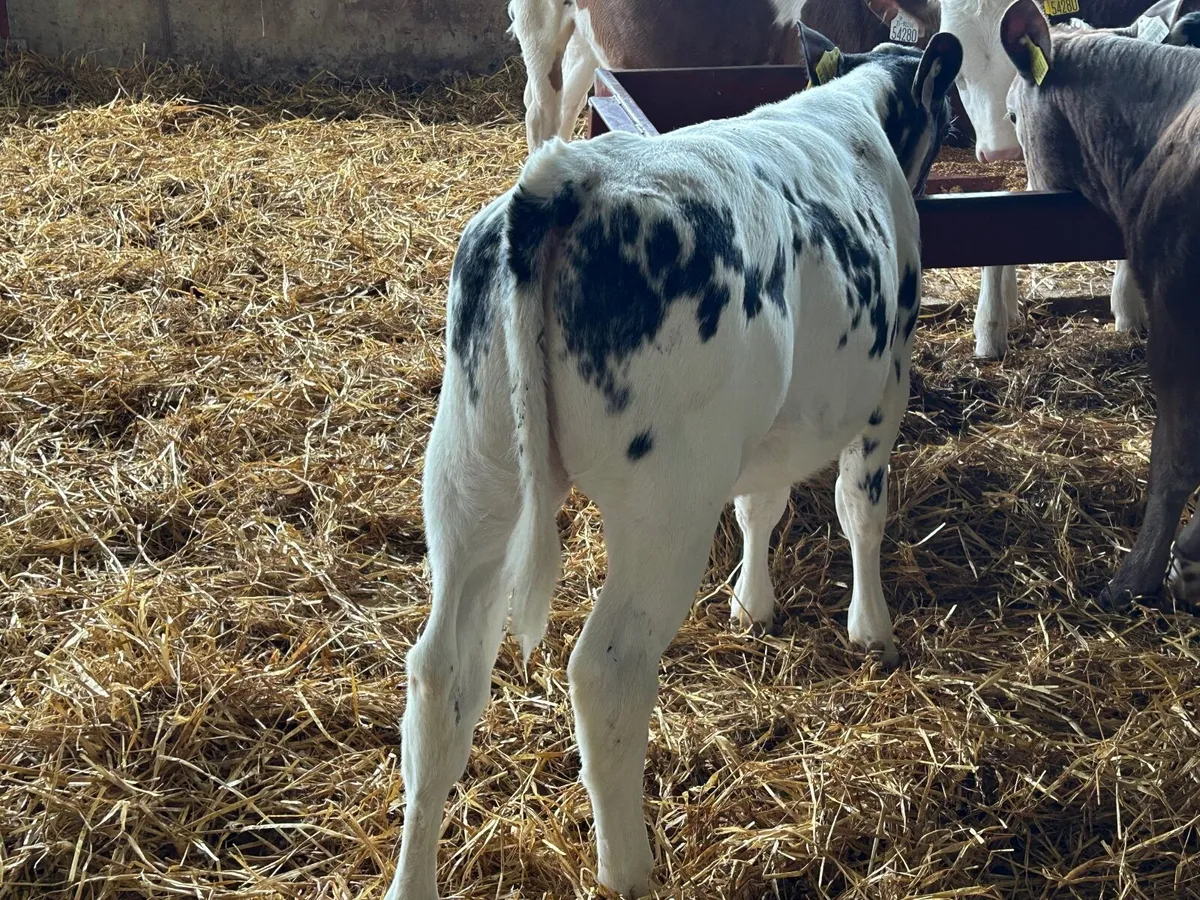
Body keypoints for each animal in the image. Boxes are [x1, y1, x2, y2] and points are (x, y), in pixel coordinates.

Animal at [384, 28, 963, 900]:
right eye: (951, 109)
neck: (856, 113)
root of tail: (565, 180)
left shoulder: (769, 428)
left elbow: (761, 505)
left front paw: (753, 605)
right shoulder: (884, 388)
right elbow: (860, 511)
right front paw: (873, 631)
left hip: (469, 473)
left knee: (440, 677)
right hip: (665, 507)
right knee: (606, 672)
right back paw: (627, 868)